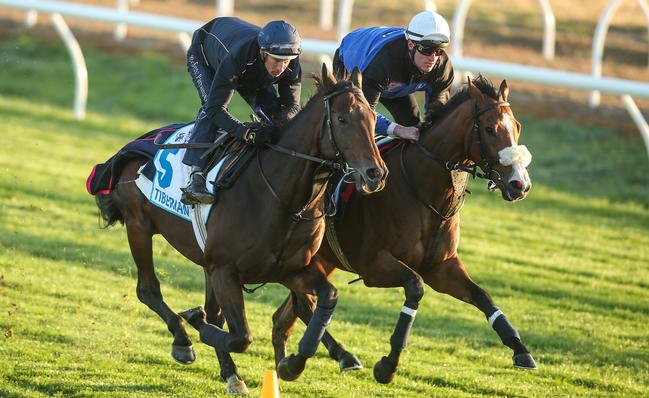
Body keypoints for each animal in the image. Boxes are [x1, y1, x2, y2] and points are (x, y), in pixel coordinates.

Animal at [94, 63, 388, 394]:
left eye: (373, 118)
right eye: (341, 119)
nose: (376, 173)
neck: (283, 198)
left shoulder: (291, 269)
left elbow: (326, 297)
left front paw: (296, 363)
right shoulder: (225, 270)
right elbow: (240, 336)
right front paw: (196, 323)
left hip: (203, 261)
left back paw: (230, 369)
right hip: (139, 227)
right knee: (148, 290)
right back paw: (184, 342)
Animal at [202, 74, 536, 388]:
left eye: (518, 127)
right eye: (491, 129)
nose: (520, 184)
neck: (422, 191)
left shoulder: (442, 266)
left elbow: (483, 297)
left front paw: (521, 350)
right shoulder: (375, 266)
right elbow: (415, 287)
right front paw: (388, 365)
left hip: (318, 261)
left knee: (286, 314)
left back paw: (296, 360)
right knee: (299, 307)